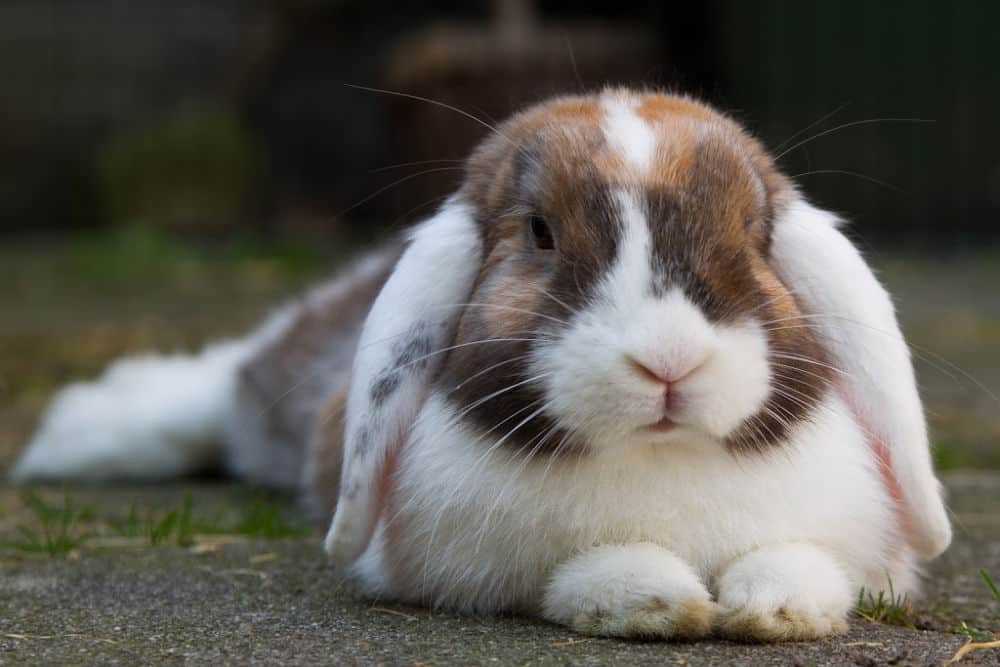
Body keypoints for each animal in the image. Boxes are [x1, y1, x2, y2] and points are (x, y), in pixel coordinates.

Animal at [15, 88, 952, 640]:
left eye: (751, 235)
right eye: (539, 232)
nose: (667, 359)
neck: (658, 456)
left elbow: (803, 562)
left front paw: (773, 607)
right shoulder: (478, 568)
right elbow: (586, 574)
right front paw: (661, 599)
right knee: (227, 383)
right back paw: (89, 429)